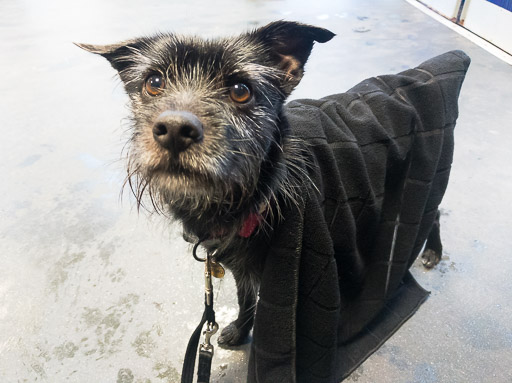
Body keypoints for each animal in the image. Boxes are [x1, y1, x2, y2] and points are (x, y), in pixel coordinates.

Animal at [77, 20, 448, 356]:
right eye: (153, 83)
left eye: (241, 90)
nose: (174, 130)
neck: (251, 199)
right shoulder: (241, 269)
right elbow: (246, 302)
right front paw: (241, 331)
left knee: (434, 212)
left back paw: (432, 251)